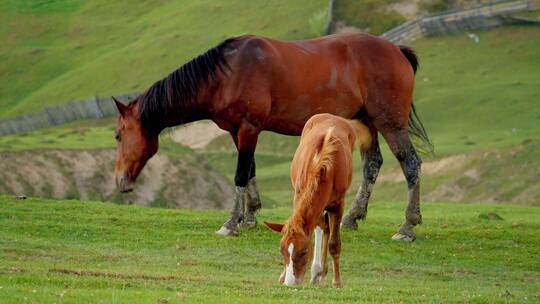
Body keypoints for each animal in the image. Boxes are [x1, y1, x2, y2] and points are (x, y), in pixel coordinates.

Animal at [112, 30, 432, 240]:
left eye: (117, 135)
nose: (120, 181)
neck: (228, 73)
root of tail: (397, 50)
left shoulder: (249, 128)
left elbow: (241, 174)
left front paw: (231, 222)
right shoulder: (237, 131)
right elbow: (250, 170)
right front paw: (250, 216)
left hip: (390, 124)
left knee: (410, 164)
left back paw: (407, 226)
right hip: (366, 122)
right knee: (372, 165)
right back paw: (353, 218)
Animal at [264, 113, 374, 288]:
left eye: (304, 252)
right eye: (282, 250)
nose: (290, 283)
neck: (322, 165)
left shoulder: (338, 205)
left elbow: (334, 244)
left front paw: (337, 281)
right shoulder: (299, 196)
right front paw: (283, 275)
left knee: (327, 229)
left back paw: (320, 273)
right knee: (323, 226)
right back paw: (318, 272)